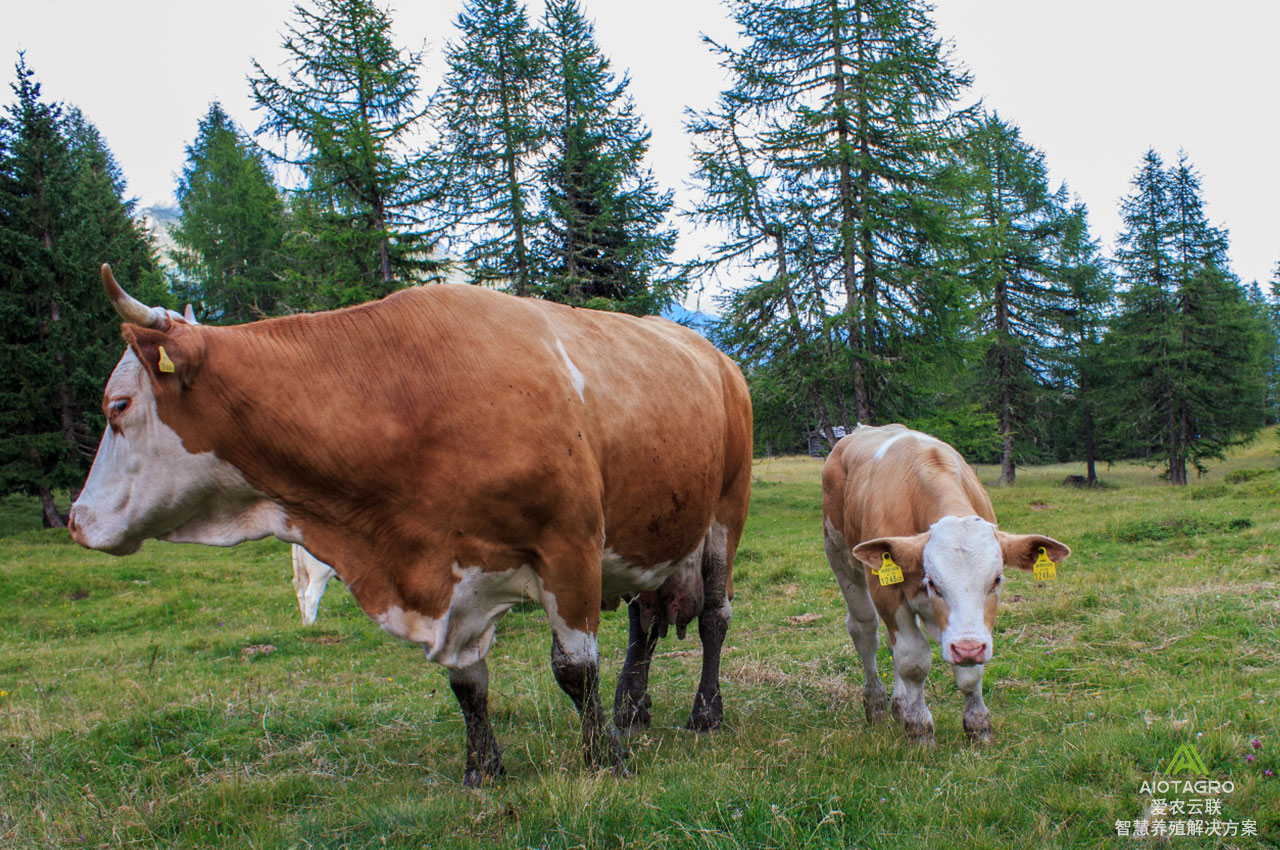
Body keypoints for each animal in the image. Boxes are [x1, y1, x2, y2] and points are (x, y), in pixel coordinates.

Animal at [67, 268, 747, 788]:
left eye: (118, 406)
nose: (75, 520)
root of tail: (717, 356)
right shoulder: (451, 576)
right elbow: (467, 683)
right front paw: (482, 770)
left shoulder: (569, 547)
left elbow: (575, 669)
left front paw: (604, 759)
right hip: (646, 535)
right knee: (644, 624)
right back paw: (631, 709)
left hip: (723, 515)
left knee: (713, 617)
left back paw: (704, 712)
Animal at [819, 425, 1070, 742]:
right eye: (933, 582)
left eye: (997, 579)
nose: (967, 649)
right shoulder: (887, 593)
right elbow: (913, 660)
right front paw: (919, 730)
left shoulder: (972, 630)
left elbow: (970, 673)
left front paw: (978, 725)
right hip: (839, 553)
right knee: (865, 631)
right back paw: (876, 705)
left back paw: (900, 704)